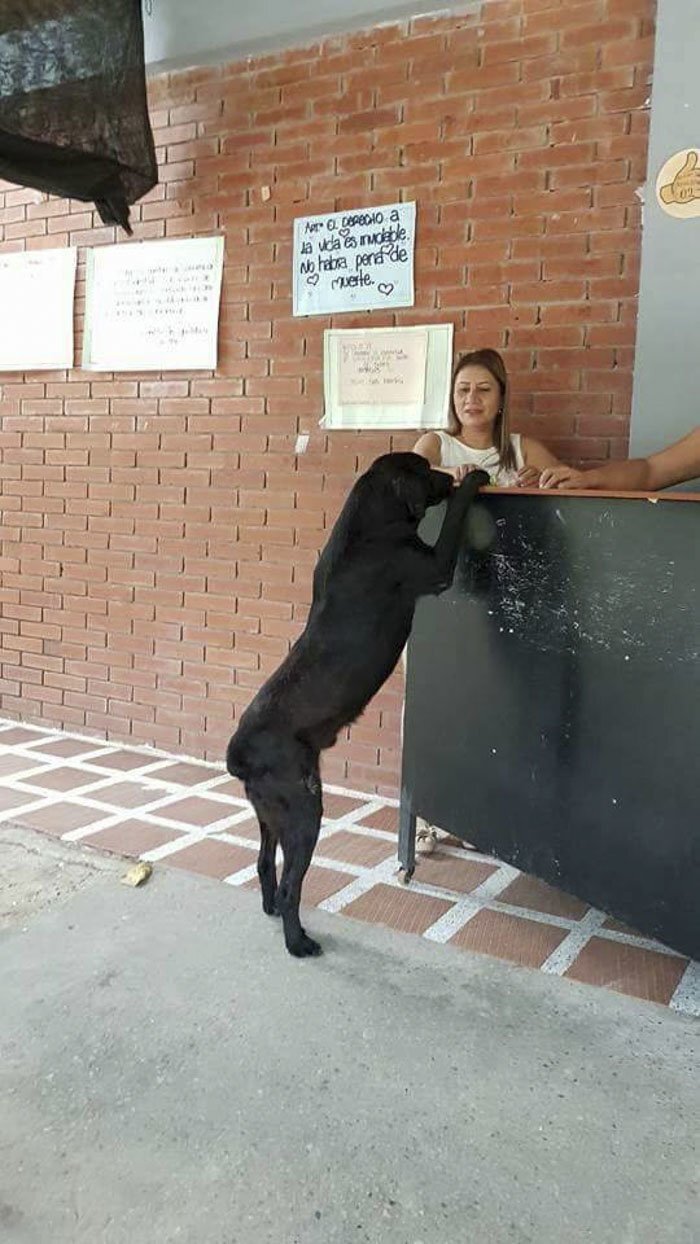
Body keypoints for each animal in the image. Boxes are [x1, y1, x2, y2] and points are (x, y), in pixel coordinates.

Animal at [226, 452, 487, 955]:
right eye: (424, 469)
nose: (447, 475)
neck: (369, 525)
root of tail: (239, 755)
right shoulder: (432, 566)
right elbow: (453, 525)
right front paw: (473, 481)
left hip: (270, 814)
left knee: (265, 864)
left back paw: (272, 912)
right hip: (304, 811)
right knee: (291, 886)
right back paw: (298, 942)